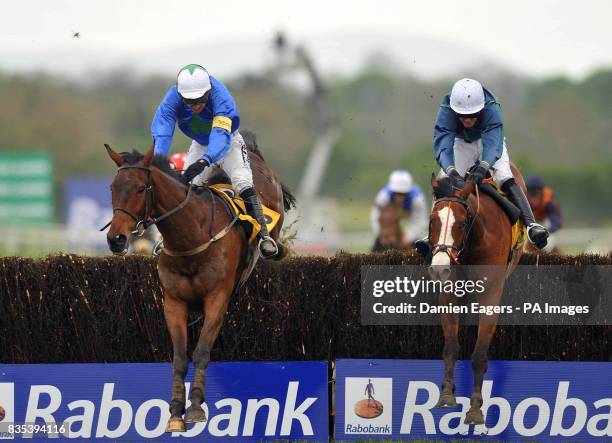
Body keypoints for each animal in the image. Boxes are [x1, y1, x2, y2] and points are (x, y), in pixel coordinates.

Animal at [105, 135, 296, 434]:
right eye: (113, 188)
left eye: (140, 188)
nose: (116, 239)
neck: (191, 237)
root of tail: (252, 150)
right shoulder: (174, 303)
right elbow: (180, 357)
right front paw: (175, 412)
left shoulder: (217, 299)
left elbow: (202, 352)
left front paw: (195, 407)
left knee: (251, 195)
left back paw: (270, 243)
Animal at [426, 166, 524, 426]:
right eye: (432, 221)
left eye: (461, 223)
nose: (438, 268)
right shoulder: (449, 291)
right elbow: (451, 347)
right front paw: (447, 395)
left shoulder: (490, 296)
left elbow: (479, 355)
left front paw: (475, 409)